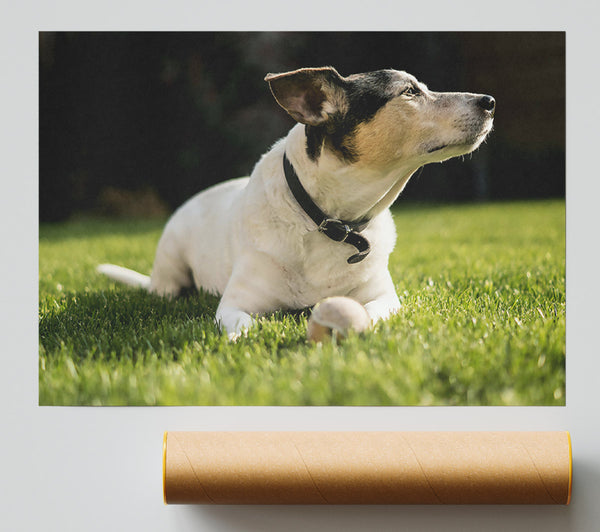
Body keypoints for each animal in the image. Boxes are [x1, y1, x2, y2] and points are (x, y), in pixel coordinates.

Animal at [97, 67, 492, 340]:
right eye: (410, 91)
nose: (489, 102)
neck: (331, 222)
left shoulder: (384, 297)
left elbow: (371, 311)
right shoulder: (235, 304)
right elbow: (241, 325)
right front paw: (244, 340)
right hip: (170, 270)